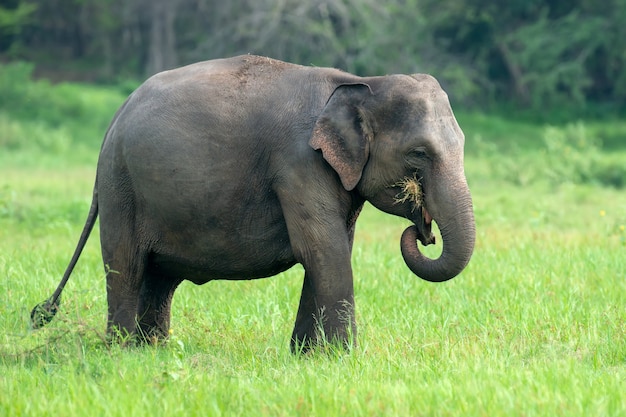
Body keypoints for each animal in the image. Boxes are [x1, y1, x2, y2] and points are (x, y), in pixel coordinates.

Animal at [30, 53, 472, 350]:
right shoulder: (298, 163)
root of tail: (115, 117)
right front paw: (343, 359)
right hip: (121, 187)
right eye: (419, 154)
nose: (423, 232)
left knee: (158, 277)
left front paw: (308, 358)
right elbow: (323, 250)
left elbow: (330, 251)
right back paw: (120, 352)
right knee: (126, 265)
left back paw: (150, 351)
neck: (361, 82)